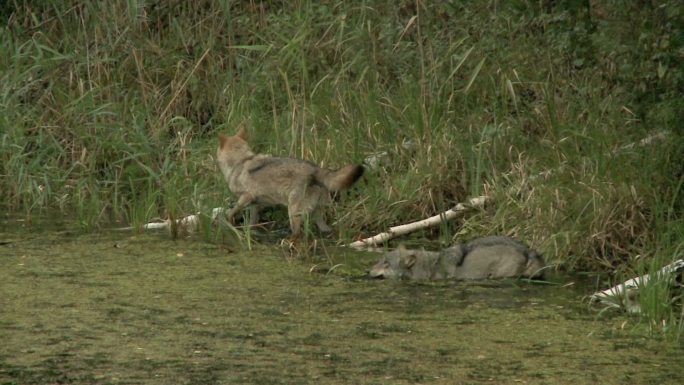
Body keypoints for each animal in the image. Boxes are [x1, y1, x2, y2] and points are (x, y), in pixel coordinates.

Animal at [215, 126, 364, 236]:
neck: (240, 161)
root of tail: (315, 169)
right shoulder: (255, 205)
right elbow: (252, 221)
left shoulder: (246, 197)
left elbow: (232, 211)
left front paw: (228, 220)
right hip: (317, 215)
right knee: (325, 229)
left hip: (293, 214)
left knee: (297, 234)